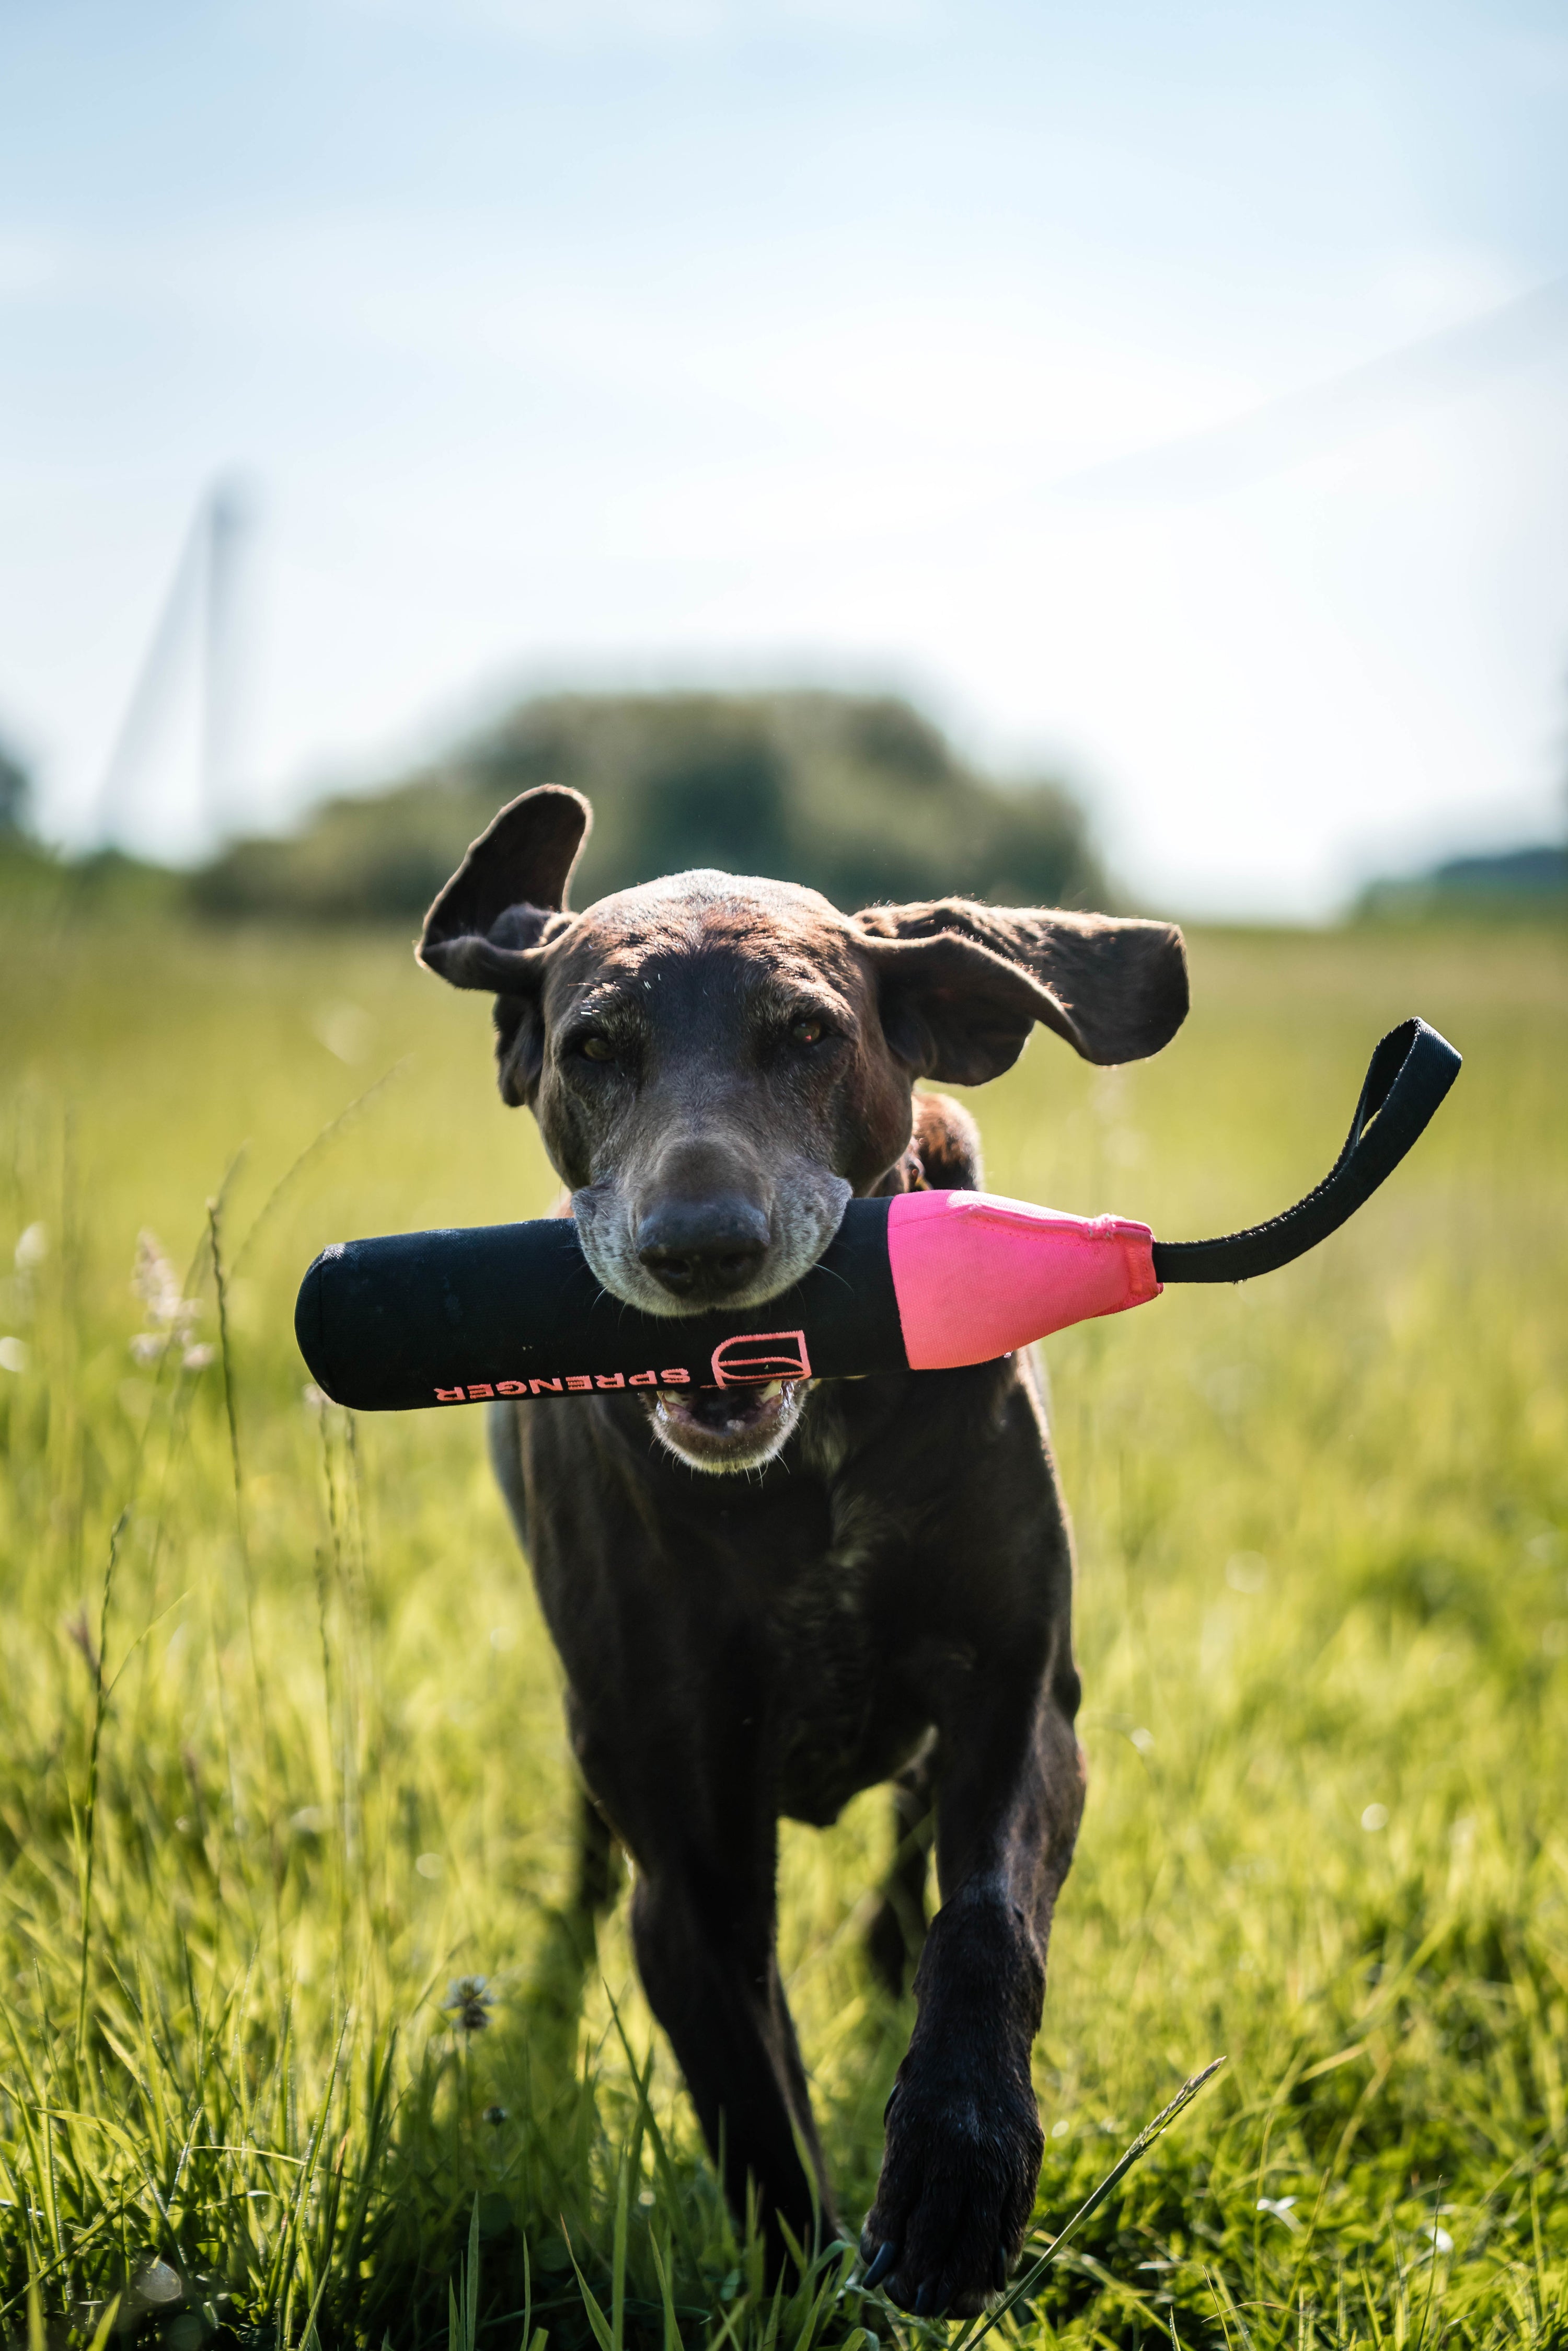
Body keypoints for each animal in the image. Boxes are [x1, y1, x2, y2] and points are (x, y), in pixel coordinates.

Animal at [421, 785, 1189, 2313]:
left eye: (809, 1034)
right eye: (592, 1049)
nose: (701, 1248)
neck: (813, 1462)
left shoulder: (1022, 1696)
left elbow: (986, 1920)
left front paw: (960, 2155)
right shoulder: (691, 1861)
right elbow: (760, 2127)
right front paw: (820, 2287)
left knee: (915, 1856)